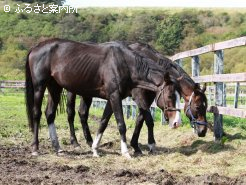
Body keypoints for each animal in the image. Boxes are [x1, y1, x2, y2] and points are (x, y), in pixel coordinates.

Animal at [25, 38, 181, 158]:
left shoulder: (113, 98)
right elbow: (121, 124)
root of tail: (35, 48)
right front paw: (126, 152)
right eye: (170, 95)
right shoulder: (114, 96)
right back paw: (35, 149)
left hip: (54, 87)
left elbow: (103, 123)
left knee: (50, 114)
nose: (176, 122)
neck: (123, 63)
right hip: (40, 87)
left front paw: (95, 149)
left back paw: (58, 148)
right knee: (37, 114)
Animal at [64, 42, 208, 155]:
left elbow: (140, 119)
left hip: (86, 94)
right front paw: (150, 145)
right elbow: (148, 120)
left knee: (83, 113)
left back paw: (89, 141)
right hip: (72, 93)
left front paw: (135, 146)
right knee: (71, 114)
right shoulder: (139, 97)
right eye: (198, 106)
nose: (203, 131)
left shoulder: (148, 99)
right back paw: (75, 142)